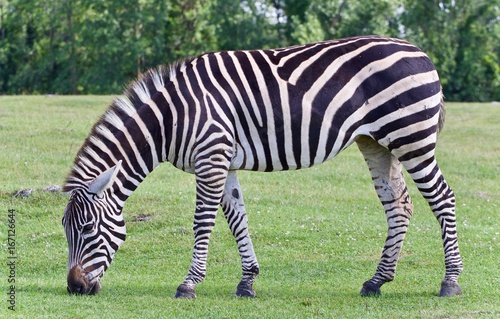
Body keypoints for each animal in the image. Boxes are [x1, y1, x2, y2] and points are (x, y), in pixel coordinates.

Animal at [62, 35, 464, 300]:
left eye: (88, 228)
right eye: (66, 229)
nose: (75, 288)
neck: (170, 118)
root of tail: (419, 51)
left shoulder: (211, 156)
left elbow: (203, 222)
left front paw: (189, 284)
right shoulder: (223, 161)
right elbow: (237, 219)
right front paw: (247, 282)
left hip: (411, 138)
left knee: (443, 198)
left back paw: (450, 282)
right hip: (377, 143)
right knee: (399, 205)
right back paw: (376, 281)